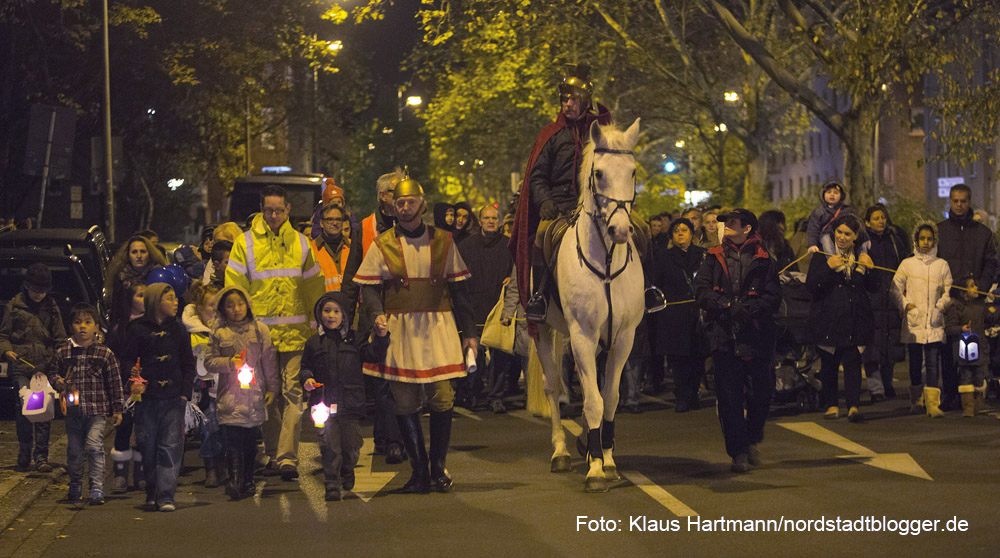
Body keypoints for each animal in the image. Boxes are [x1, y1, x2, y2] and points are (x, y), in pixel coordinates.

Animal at [536, 118, 644, 494]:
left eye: (633, 171)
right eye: (598, 173)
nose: (621, 230)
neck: (607, 261)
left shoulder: (624, 337)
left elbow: (608, 397)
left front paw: (606, 459)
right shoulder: (582, 334)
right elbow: (593, 400)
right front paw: (596, 470)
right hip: (543, 329)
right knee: (553, 387)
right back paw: (559, 452)